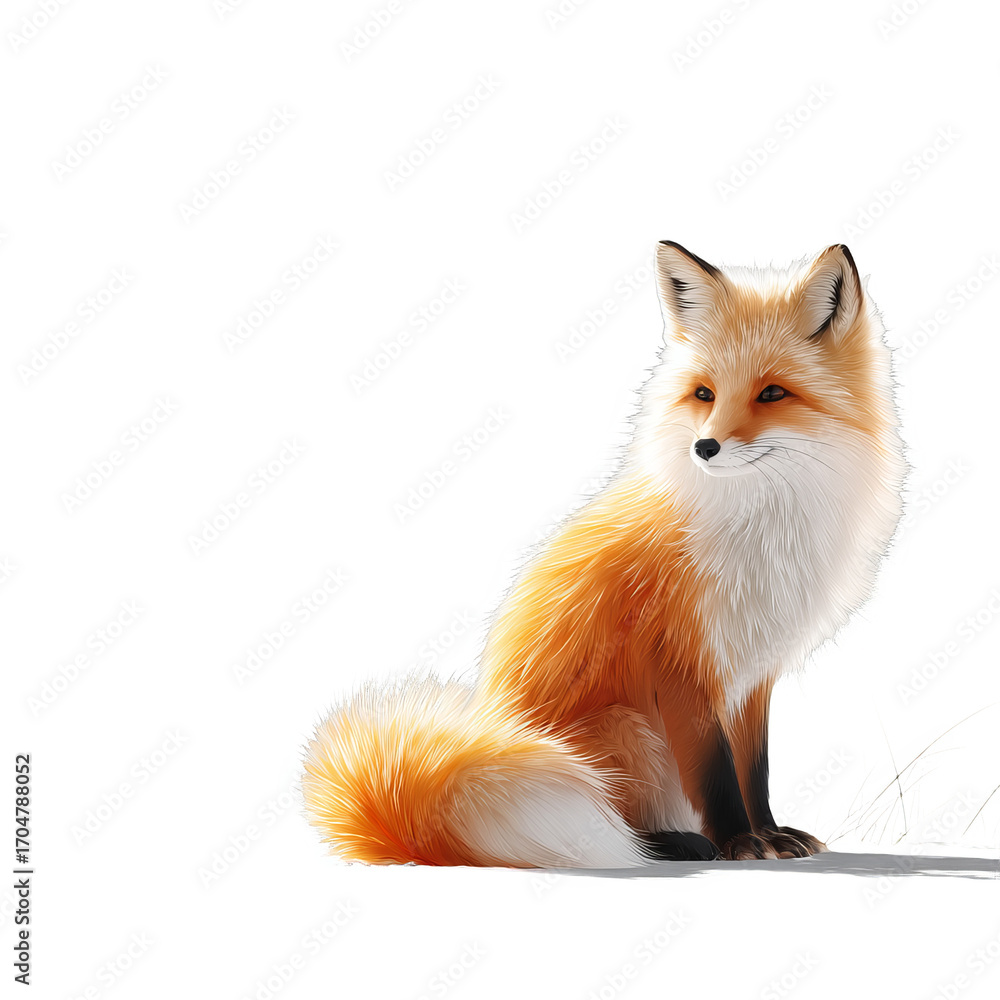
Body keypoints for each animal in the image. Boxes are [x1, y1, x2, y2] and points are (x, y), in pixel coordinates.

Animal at [302, 241, 905, 866]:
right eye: (705, 394)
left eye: (772, 393)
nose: (705, 447)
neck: (760, 524)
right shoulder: (682, 662)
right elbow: (716, 772)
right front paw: (739, 841)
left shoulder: (752, 672)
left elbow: (754, 768)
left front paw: (769, 833)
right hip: (625, 731)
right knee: (615, 819)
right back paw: (670, 843)